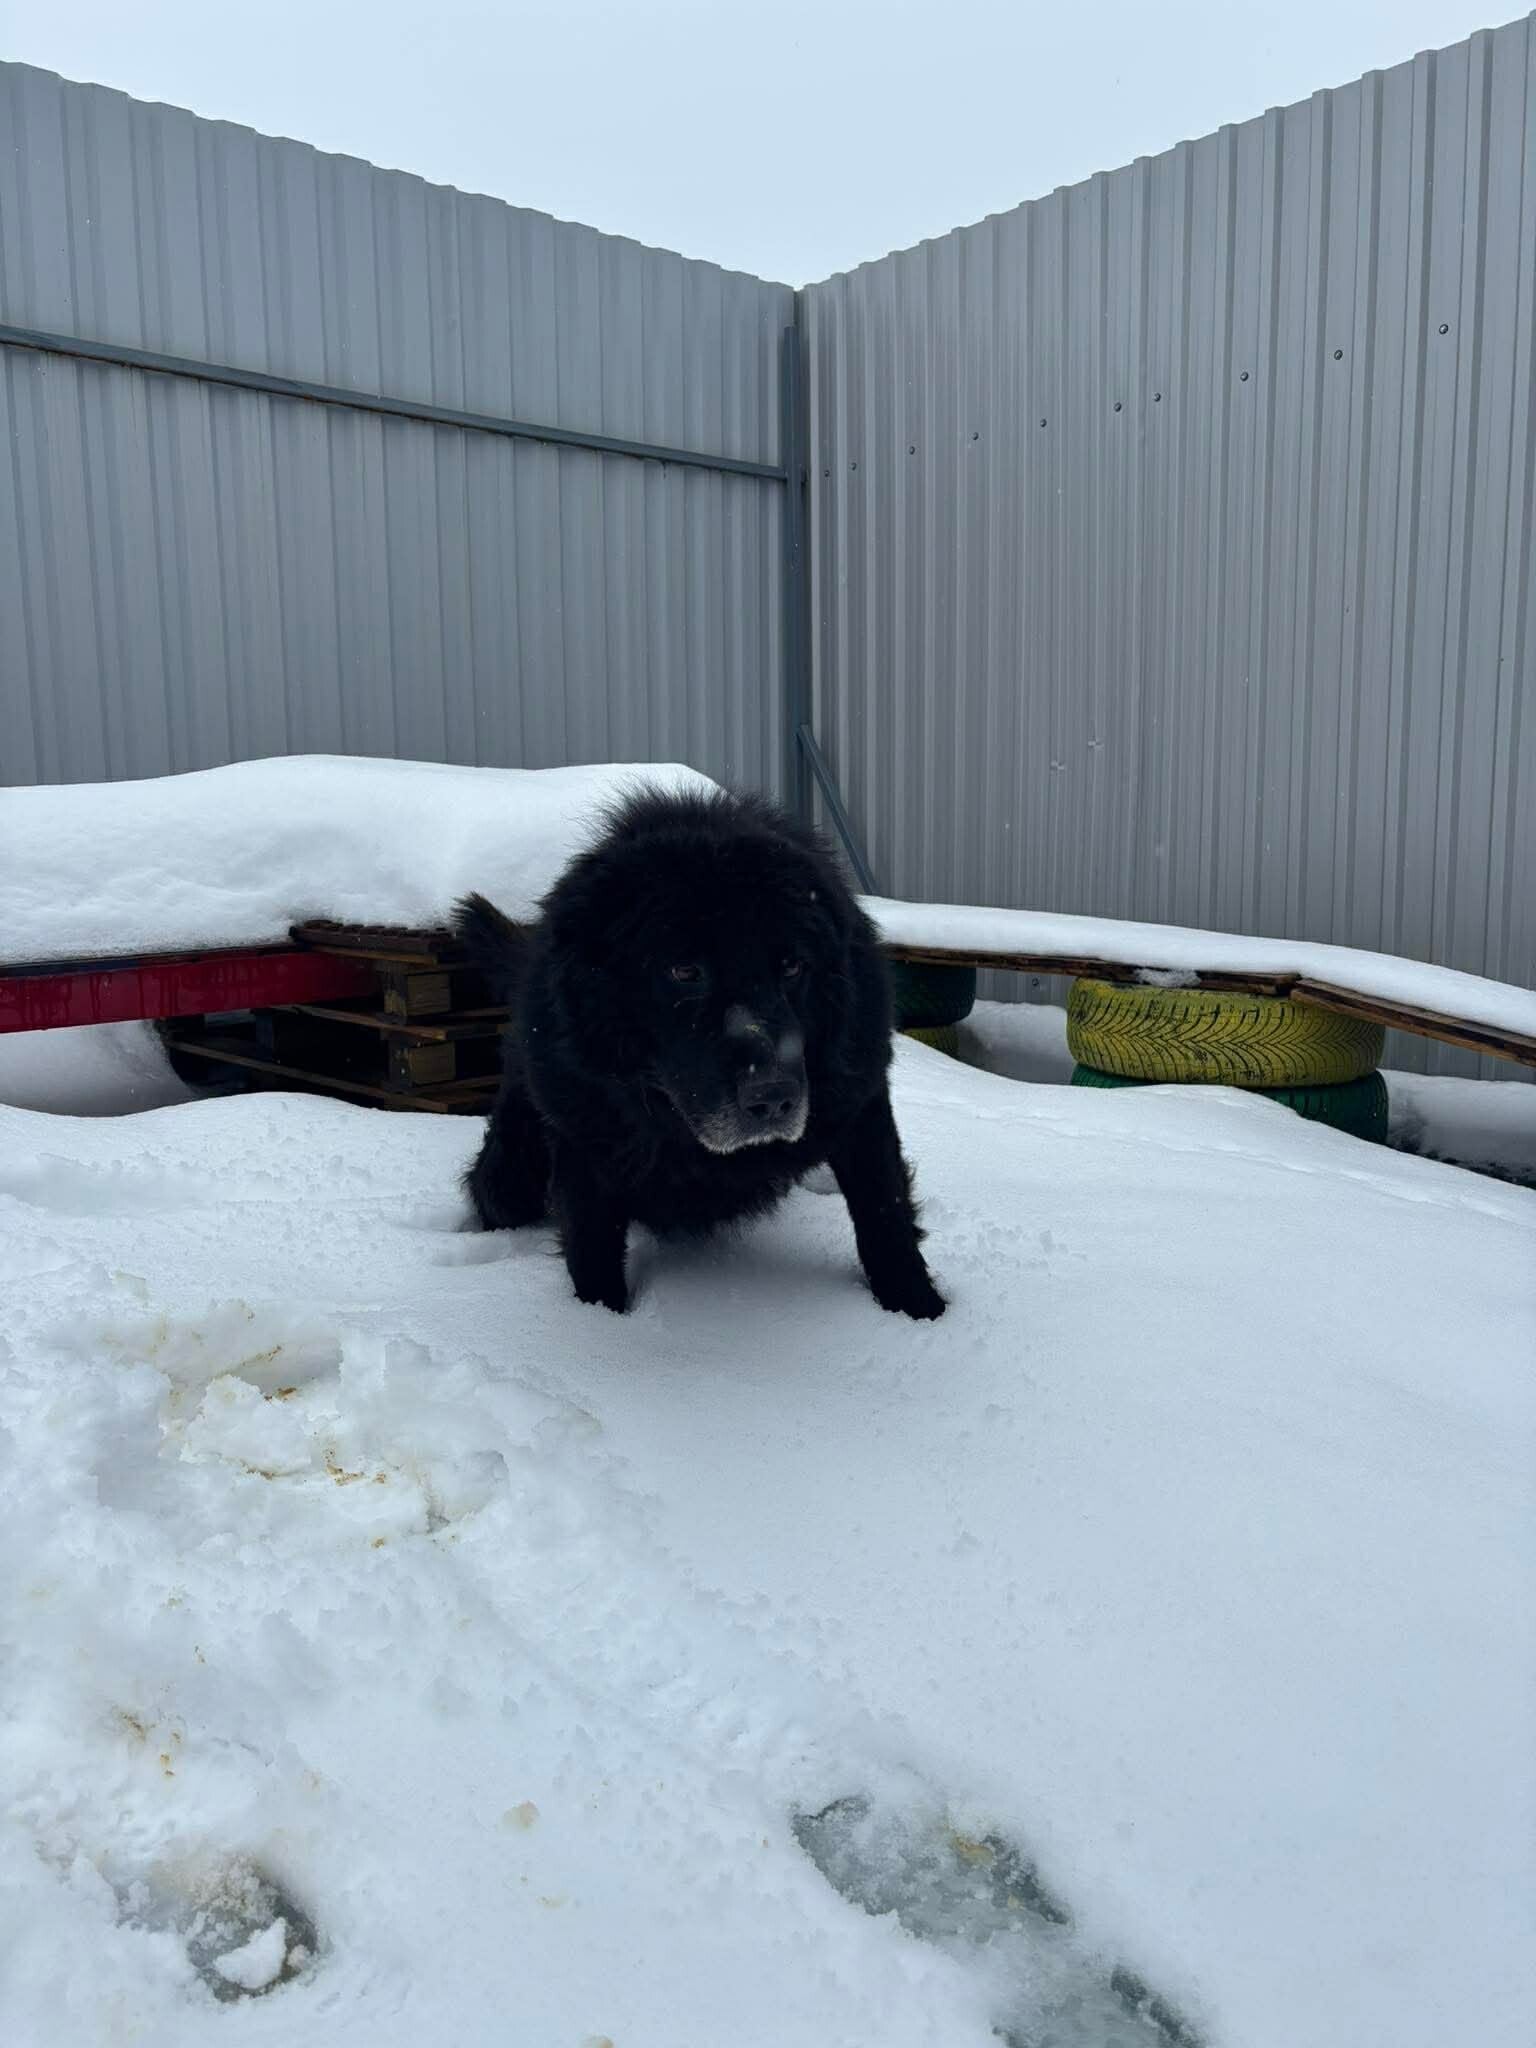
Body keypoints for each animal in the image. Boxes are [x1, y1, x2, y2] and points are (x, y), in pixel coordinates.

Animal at [454, 787, 945, 1319]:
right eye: (685, 971)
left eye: (792, 966)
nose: (773, 1097)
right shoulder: (584, 1133)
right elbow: (591, 1246)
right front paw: (601, 1322)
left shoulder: (858, 1102)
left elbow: (884, 1214)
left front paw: (920, 1313)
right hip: (512, 1173)